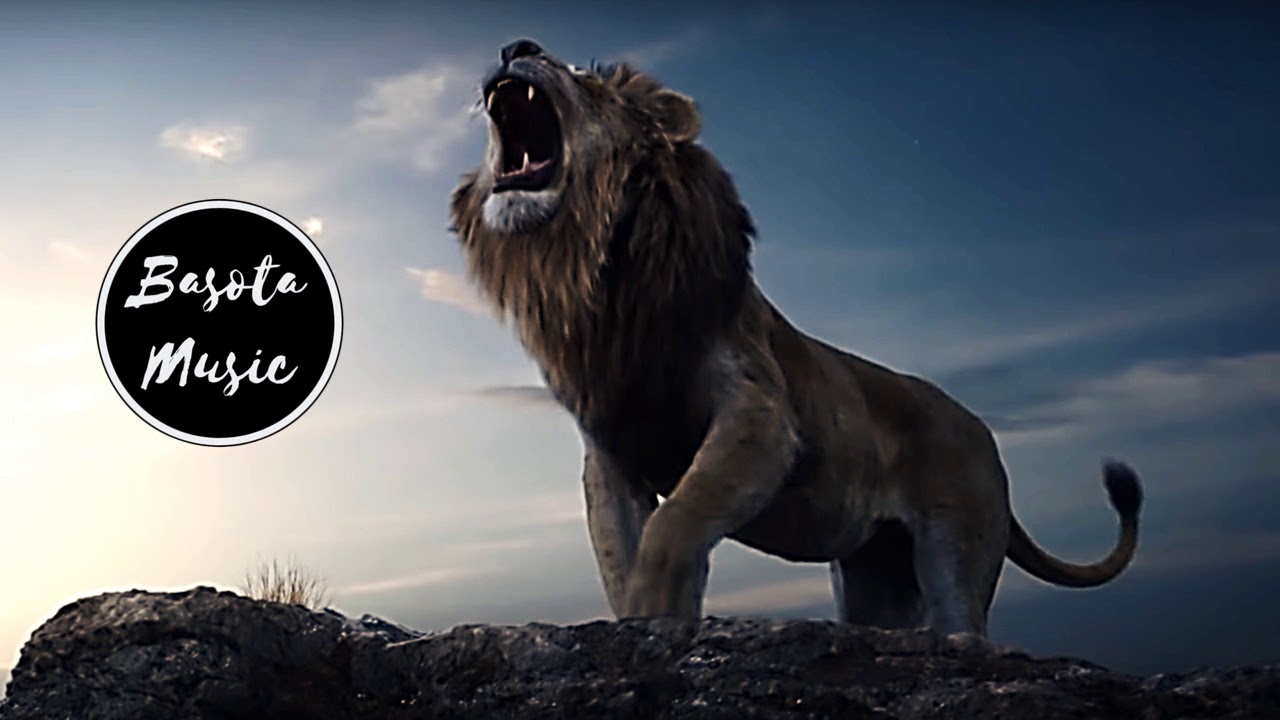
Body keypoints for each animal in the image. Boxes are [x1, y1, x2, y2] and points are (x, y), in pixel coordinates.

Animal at [448, 38, 1143, 637]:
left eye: (581, 76)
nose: (517, 47)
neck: (598, 274)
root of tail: (984, 434)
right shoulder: (610, 453)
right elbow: (621, 556)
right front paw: (639, 620)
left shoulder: (761, 413)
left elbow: (676, 522)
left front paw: (660, 613)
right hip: (874, 576)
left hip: (957, 551)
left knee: (965, 630)